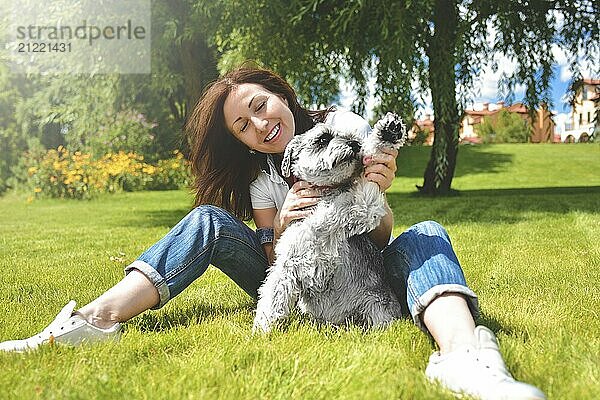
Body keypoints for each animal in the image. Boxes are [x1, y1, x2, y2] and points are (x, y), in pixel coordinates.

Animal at [253, 113, 408, 334]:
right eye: (323, 138)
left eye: (352, 136)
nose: (354, 144)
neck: (326, 194)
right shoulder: (287, 265)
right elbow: (273, 297)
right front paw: (262, 329)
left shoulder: (363, 206)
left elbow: (366, 179)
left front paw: (387, 132)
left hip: (376, 306)